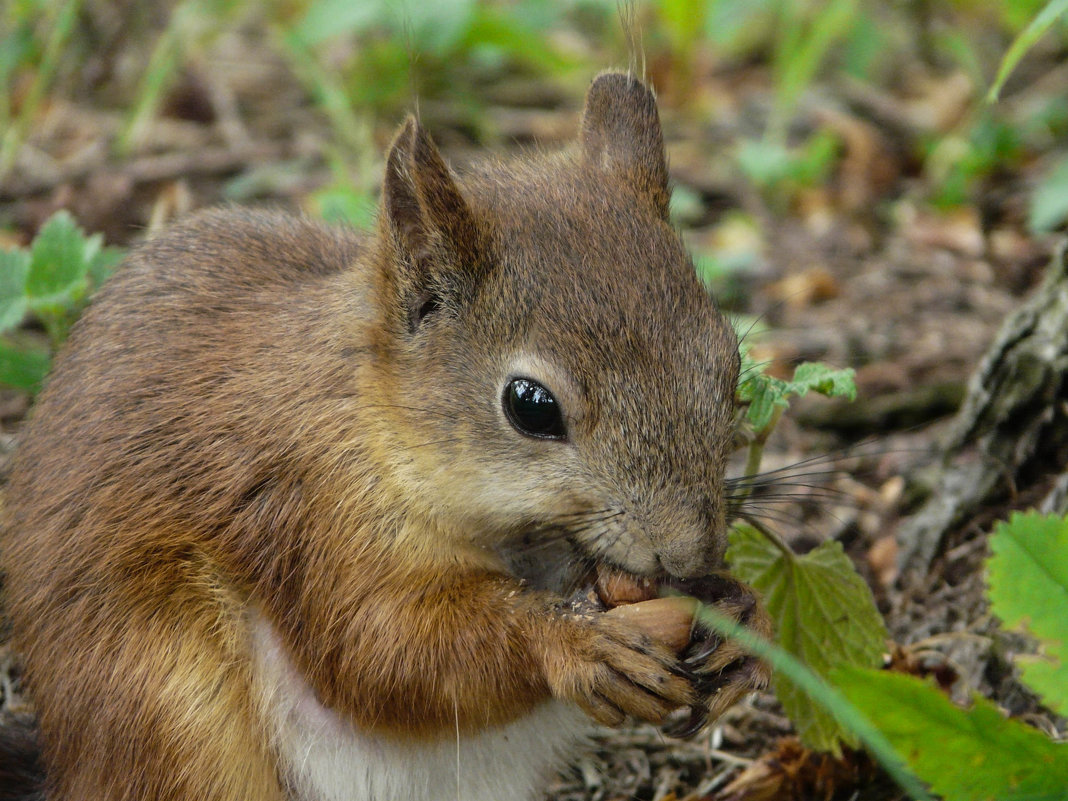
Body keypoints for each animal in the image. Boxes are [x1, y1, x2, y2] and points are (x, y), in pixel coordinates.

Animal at [0, 73, 768, 801]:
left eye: (730, 362)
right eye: (531, 406)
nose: (688, 552)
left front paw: (740, 614)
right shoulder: (313, 511)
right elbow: (379, 650)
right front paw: (571, 642)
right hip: (169, 704)